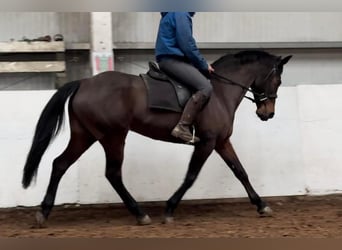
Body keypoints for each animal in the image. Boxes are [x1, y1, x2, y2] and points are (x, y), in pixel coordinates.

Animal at [20, 49, 292, 226]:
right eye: (278, 80)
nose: (267, 113)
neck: (220, 92)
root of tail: (84, 82)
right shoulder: (207, 142)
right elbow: (191, 176)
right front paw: (169, 209)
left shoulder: (221, 142)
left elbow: (240, 171)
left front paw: (261, 205)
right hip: (113, 136)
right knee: (112, 173)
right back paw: (140, 214)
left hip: (84, 135)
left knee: (60, 164)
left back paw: (44, 212)